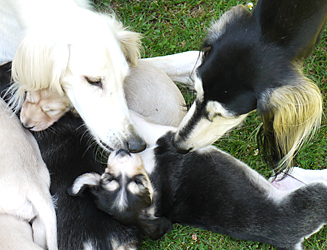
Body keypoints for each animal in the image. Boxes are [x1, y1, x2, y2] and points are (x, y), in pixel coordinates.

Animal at [73, 112, 327, 249]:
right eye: (138, 182)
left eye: (108, 177)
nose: (122, 152)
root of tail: (292, 239)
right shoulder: (164, 137)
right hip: (314, 195)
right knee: (318, 180)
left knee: (291, 175)